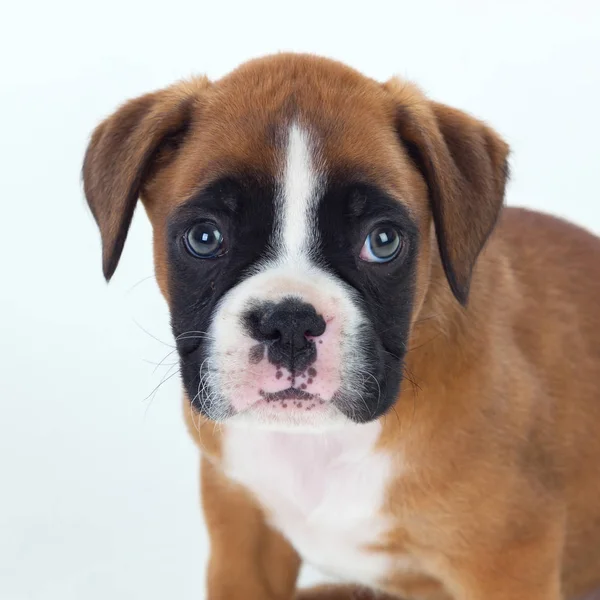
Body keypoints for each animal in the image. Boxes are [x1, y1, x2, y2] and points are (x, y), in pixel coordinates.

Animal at [82, 54, 600, 596]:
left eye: (383, 241)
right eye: (205, 237)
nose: (289, 324)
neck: (321, 444)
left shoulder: (507, 563)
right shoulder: (243, 544)